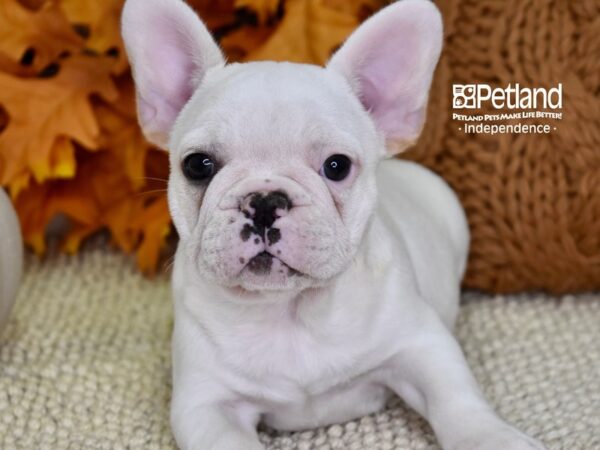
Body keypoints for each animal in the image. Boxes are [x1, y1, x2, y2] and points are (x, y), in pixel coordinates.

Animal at [122, 0, 548, 450]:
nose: (265, 201)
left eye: (337, 166)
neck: (289, 311)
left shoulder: (422, 344)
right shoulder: (207, 404)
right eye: (198, 165)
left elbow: (458, 400)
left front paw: (492, 438)